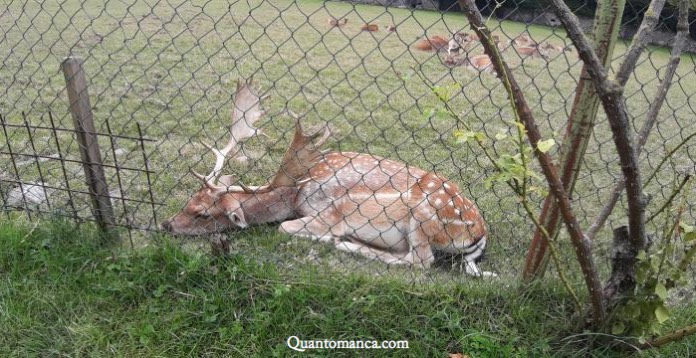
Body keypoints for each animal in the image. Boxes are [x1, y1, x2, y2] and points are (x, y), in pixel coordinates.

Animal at [161, 79, 494, 278]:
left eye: (203, 214)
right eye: (189, 200)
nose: (166, 224)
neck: (296, 195)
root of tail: (479, 233)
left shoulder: (331, 212)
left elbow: (283, 228)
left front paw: (327, 236)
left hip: (424, 216)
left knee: (421, 261)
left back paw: (344, 243)